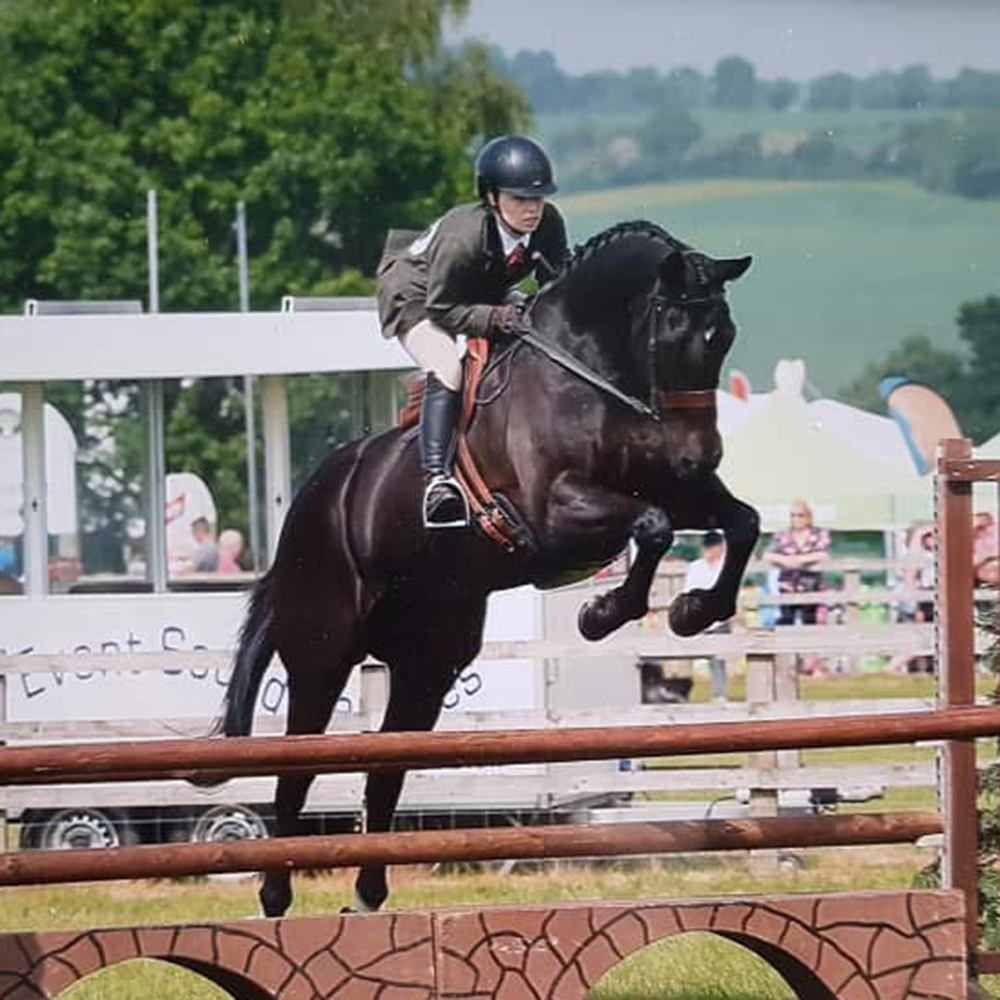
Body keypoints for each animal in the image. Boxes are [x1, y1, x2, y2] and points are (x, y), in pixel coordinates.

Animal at [218, 220, 758, 917]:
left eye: (726, 335)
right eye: (671, 327)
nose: (701, 454)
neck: (592, 371)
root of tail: (308, 508)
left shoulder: (674, 487)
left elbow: (739, 522)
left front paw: (693, 611)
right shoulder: (553, 512)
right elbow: (653, 526)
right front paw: (601, 613)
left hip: (426, 663)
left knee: (385, 766)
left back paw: (365, 895)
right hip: (322, 652)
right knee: (298, 765)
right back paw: (276, 891)